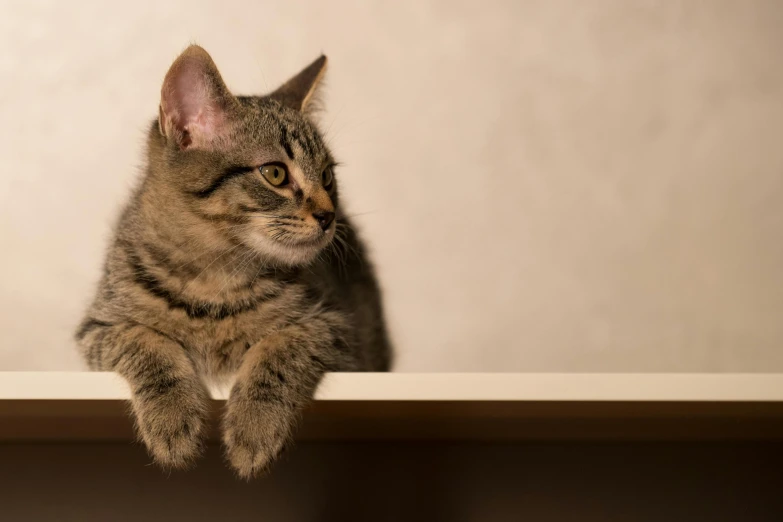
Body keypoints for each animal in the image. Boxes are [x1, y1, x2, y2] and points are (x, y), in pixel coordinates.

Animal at [74, 44, 392, 476]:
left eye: (327, 176)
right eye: (275, 174)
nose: (329, 216)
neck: (215, 279)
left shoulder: (336, 331)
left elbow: (281, 347)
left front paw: (254, 427)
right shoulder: (99, 328)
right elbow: (146, 341)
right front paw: (173, 417)